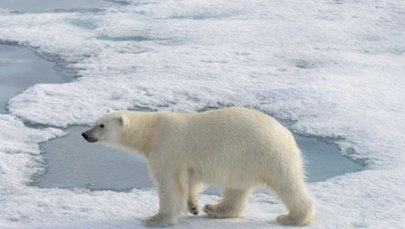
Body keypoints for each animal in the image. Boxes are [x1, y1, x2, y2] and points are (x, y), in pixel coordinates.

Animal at [81, 107, 316, 227]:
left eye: (101, 125)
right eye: (94, 121)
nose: (84, 134)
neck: (151, 132)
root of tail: (287, 134)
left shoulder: (168, 147)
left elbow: (169, 184)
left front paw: (156, 218)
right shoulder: (184, 159)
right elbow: (190, 180)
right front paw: (193, 205)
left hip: (266, 153)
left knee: (287, 184)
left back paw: (292, 218)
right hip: (244, 161)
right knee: (236, 188)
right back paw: (215, 209)